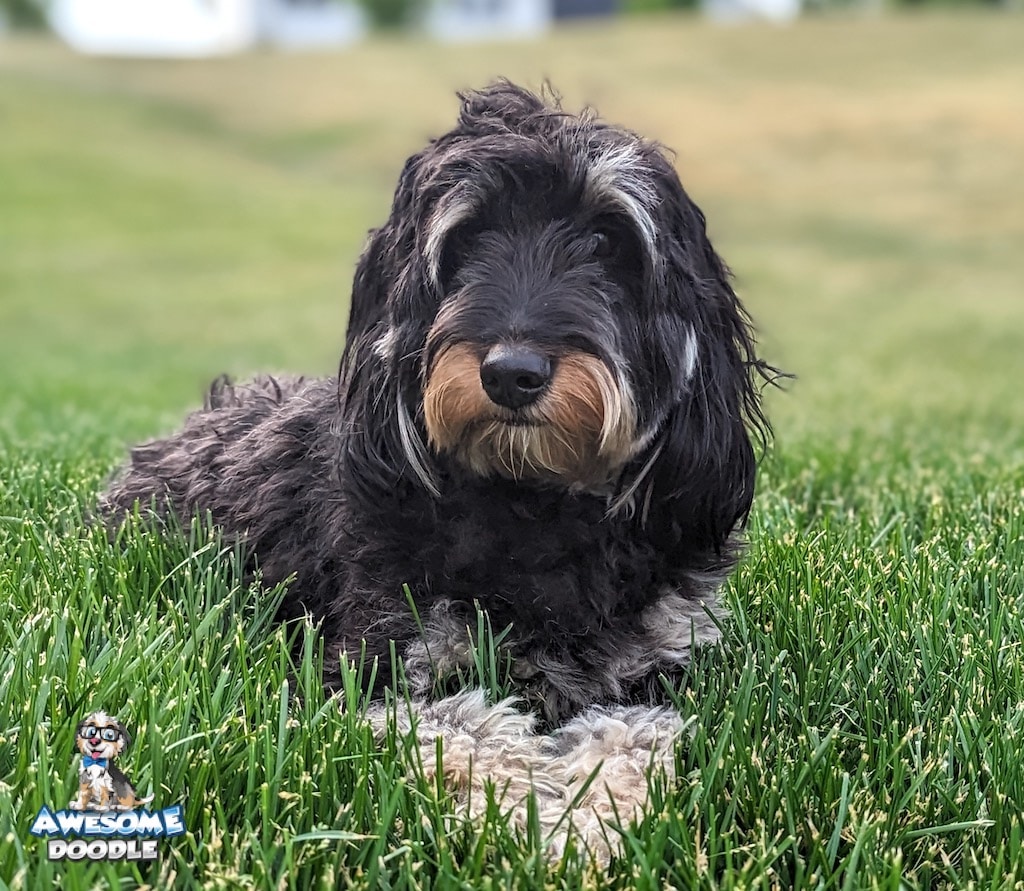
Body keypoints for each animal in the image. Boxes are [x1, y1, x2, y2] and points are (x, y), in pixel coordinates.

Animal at [103, 81, 774, 856]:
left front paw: (586, 819)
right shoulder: (378, 665)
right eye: (466, 241)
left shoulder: (650, 671)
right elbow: (466, 726)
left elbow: (629, 734)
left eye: (608, 242)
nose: (512, 373)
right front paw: (523, 811)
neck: (530, 506)